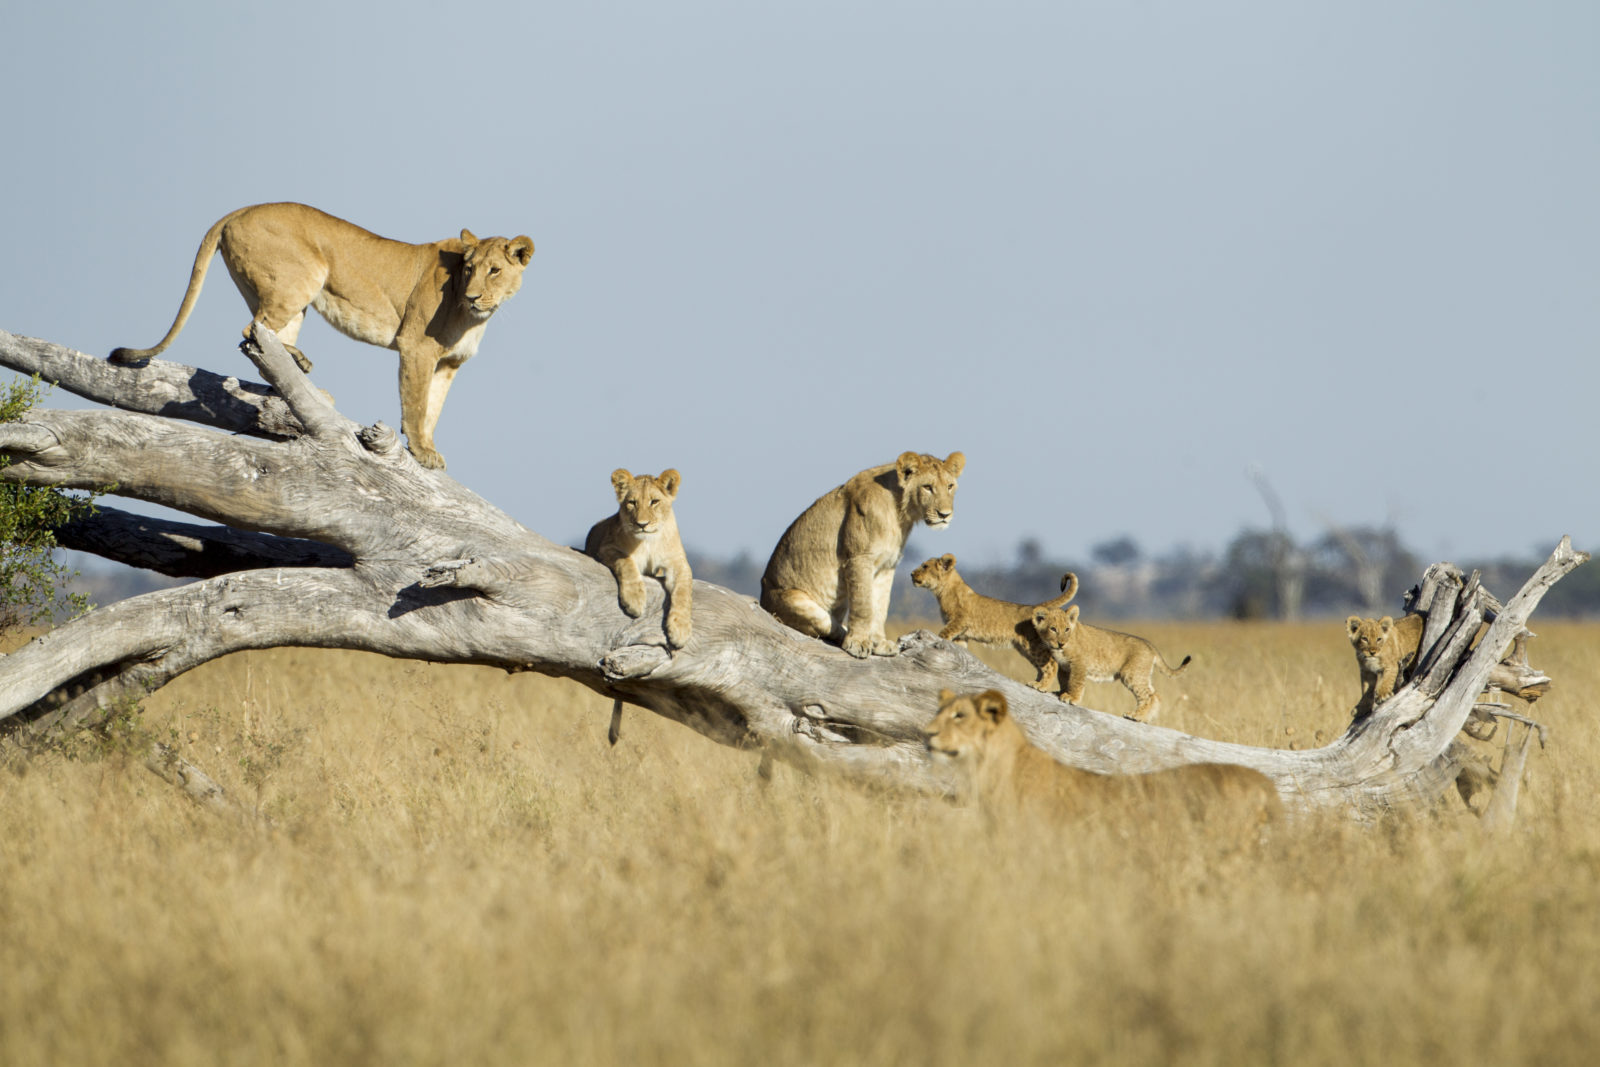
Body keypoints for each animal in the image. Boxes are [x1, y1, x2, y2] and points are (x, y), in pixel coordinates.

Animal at [109, 202, 534, 470]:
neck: (476, 317)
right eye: (470, 269)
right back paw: (300, 364)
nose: (472, 296)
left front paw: (429, 450)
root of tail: (240, 210)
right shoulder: (416, 347)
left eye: (494, 270)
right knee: (251, 331)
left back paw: (298, 367)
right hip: (300, 278)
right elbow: (415, 405)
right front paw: (420, 451)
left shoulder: (448, 363)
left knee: (260, 342)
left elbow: (434, 409)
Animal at [760, 451, 964, 659]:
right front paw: (857, 642)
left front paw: (879, 644)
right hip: (795, 602)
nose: (944, 515)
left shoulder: (887, 566)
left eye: (950, 486)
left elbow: (880, 607)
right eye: (927, 487)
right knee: (827, 626)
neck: (899, 512)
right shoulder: (859, 558)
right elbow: (864, 605)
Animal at [910, 554, 1078, 690]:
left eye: (925, 566)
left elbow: (942, 635)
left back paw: (1041, 686)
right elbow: (960, 649)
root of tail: (1034, 607)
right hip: (1025, 648)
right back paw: (1035, 682)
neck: (943, 591)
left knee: (1052, 664)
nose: (911, 574)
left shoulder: (958, 622)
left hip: (1034, 645)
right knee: (1041, 667)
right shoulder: (961, 634)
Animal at [1029, 605, 1191, 722]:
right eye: (1053, 629)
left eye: (1067, 629)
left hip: (1132, 674)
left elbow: (1075, 682)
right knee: (1155, 695)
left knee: (1148, 696)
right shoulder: (1065, 667)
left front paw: (1071, 698)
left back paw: (1136, 716)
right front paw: (1059, 691)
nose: (1061, 643)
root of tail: (1149, 644)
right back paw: (1145, 717)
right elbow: (1064, 681)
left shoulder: (1079, 664)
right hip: (1141, 674)